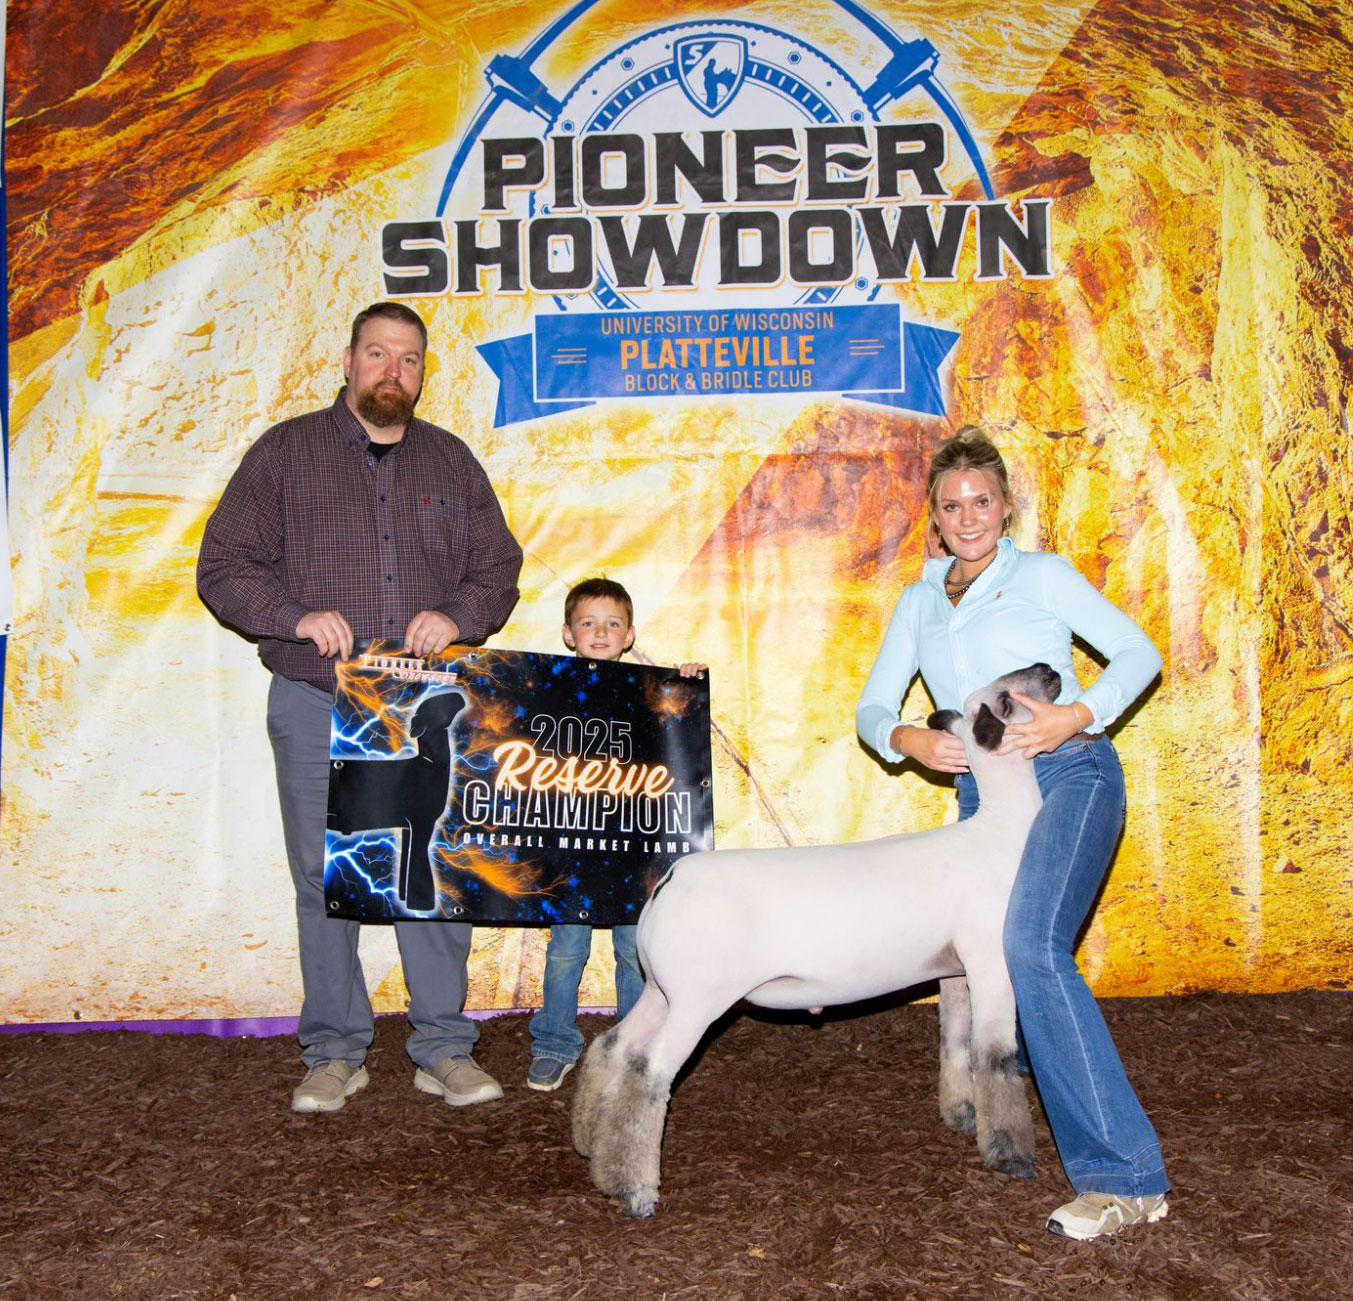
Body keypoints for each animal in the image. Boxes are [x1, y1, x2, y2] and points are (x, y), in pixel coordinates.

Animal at [570, 663, 1061, 1218]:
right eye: (1006, 701)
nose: (1049, 669)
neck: (999, 834)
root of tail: (671, 879)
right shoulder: (992, 965)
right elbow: (995, 1058)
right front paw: (1011, 1157)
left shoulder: (954, 971)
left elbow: (956, 1045)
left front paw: (961, 1118)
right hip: (697, 1001)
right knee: (648, 1072)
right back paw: (634, 1192)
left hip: (661, 990)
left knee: (613, 1047)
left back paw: (590, 1145)